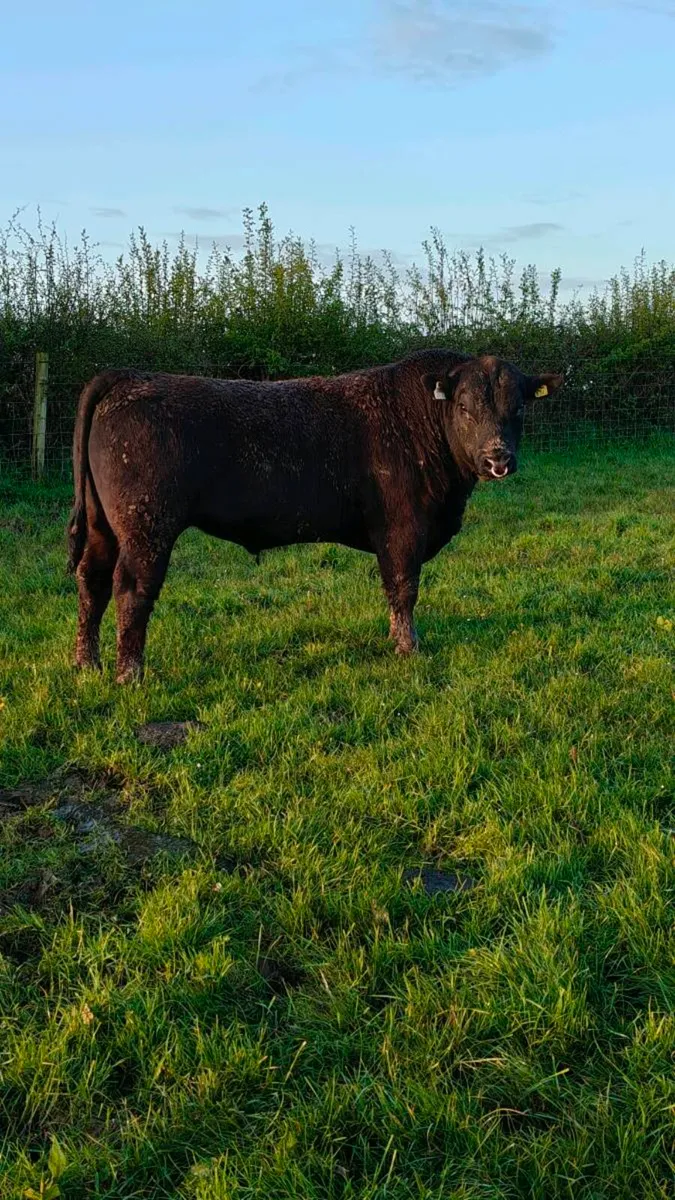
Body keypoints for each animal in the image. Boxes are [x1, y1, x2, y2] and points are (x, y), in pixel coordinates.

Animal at [67, 349, 563, 682]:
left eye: (518, 407)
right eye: (464, 407)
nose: (499, 459)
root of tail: (131, 377)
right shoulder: (403, 529)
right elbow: (403, 589)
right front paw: (409, 648)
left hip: (103, 525)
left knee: (91, 580)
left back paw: (87, 664)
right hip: (146, 527)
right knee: (131, 589)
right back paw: (129, 674)